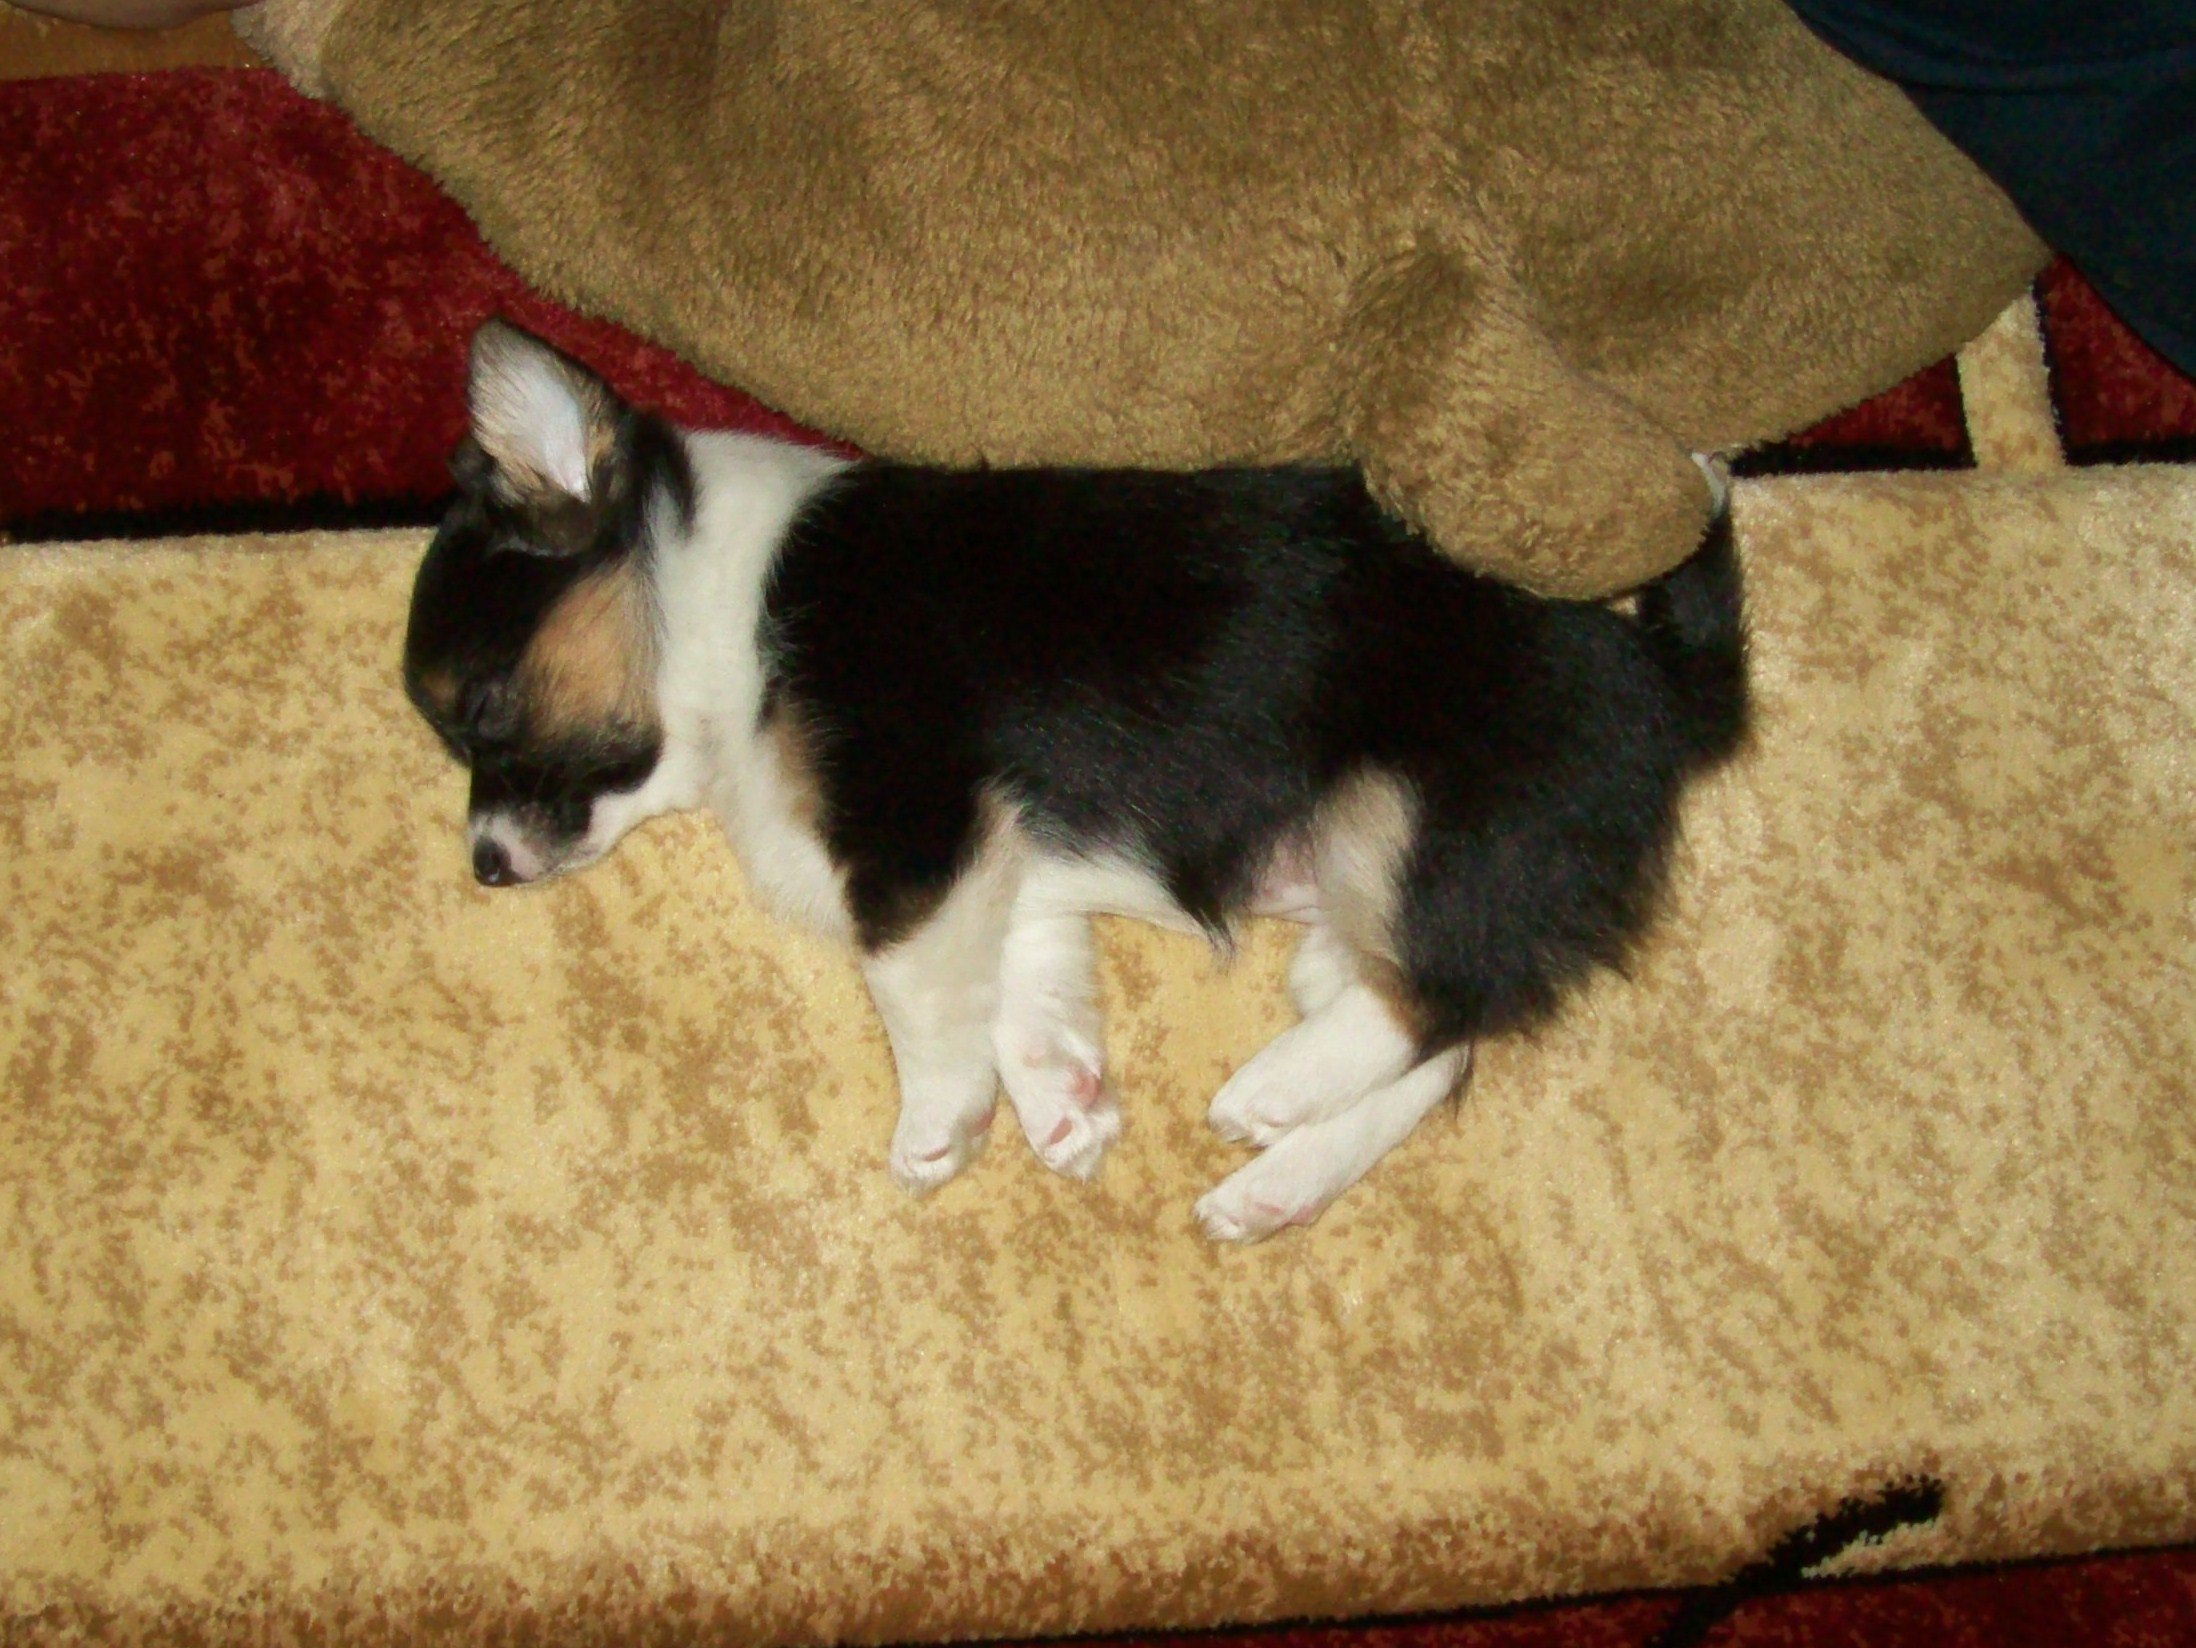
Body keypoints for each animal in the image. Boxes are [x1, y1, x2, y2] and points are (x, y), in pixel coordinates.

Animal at [404, 319, 1748, 1241]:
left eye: (482, 710)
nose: (483, 866)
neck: (722, 610)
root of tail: (1662, 680)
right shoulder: (1005, 860)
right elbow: (1021, 985)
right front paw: (1063, 1102)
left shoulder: (914, 824)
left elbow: (910, 985)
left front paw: (937, 1126)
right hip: (1361, 895)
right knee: (1439, 1039)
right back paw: (1275, 1180)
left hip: (1416, 821)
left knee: (1438, 1004)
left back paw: (1273, 1092)